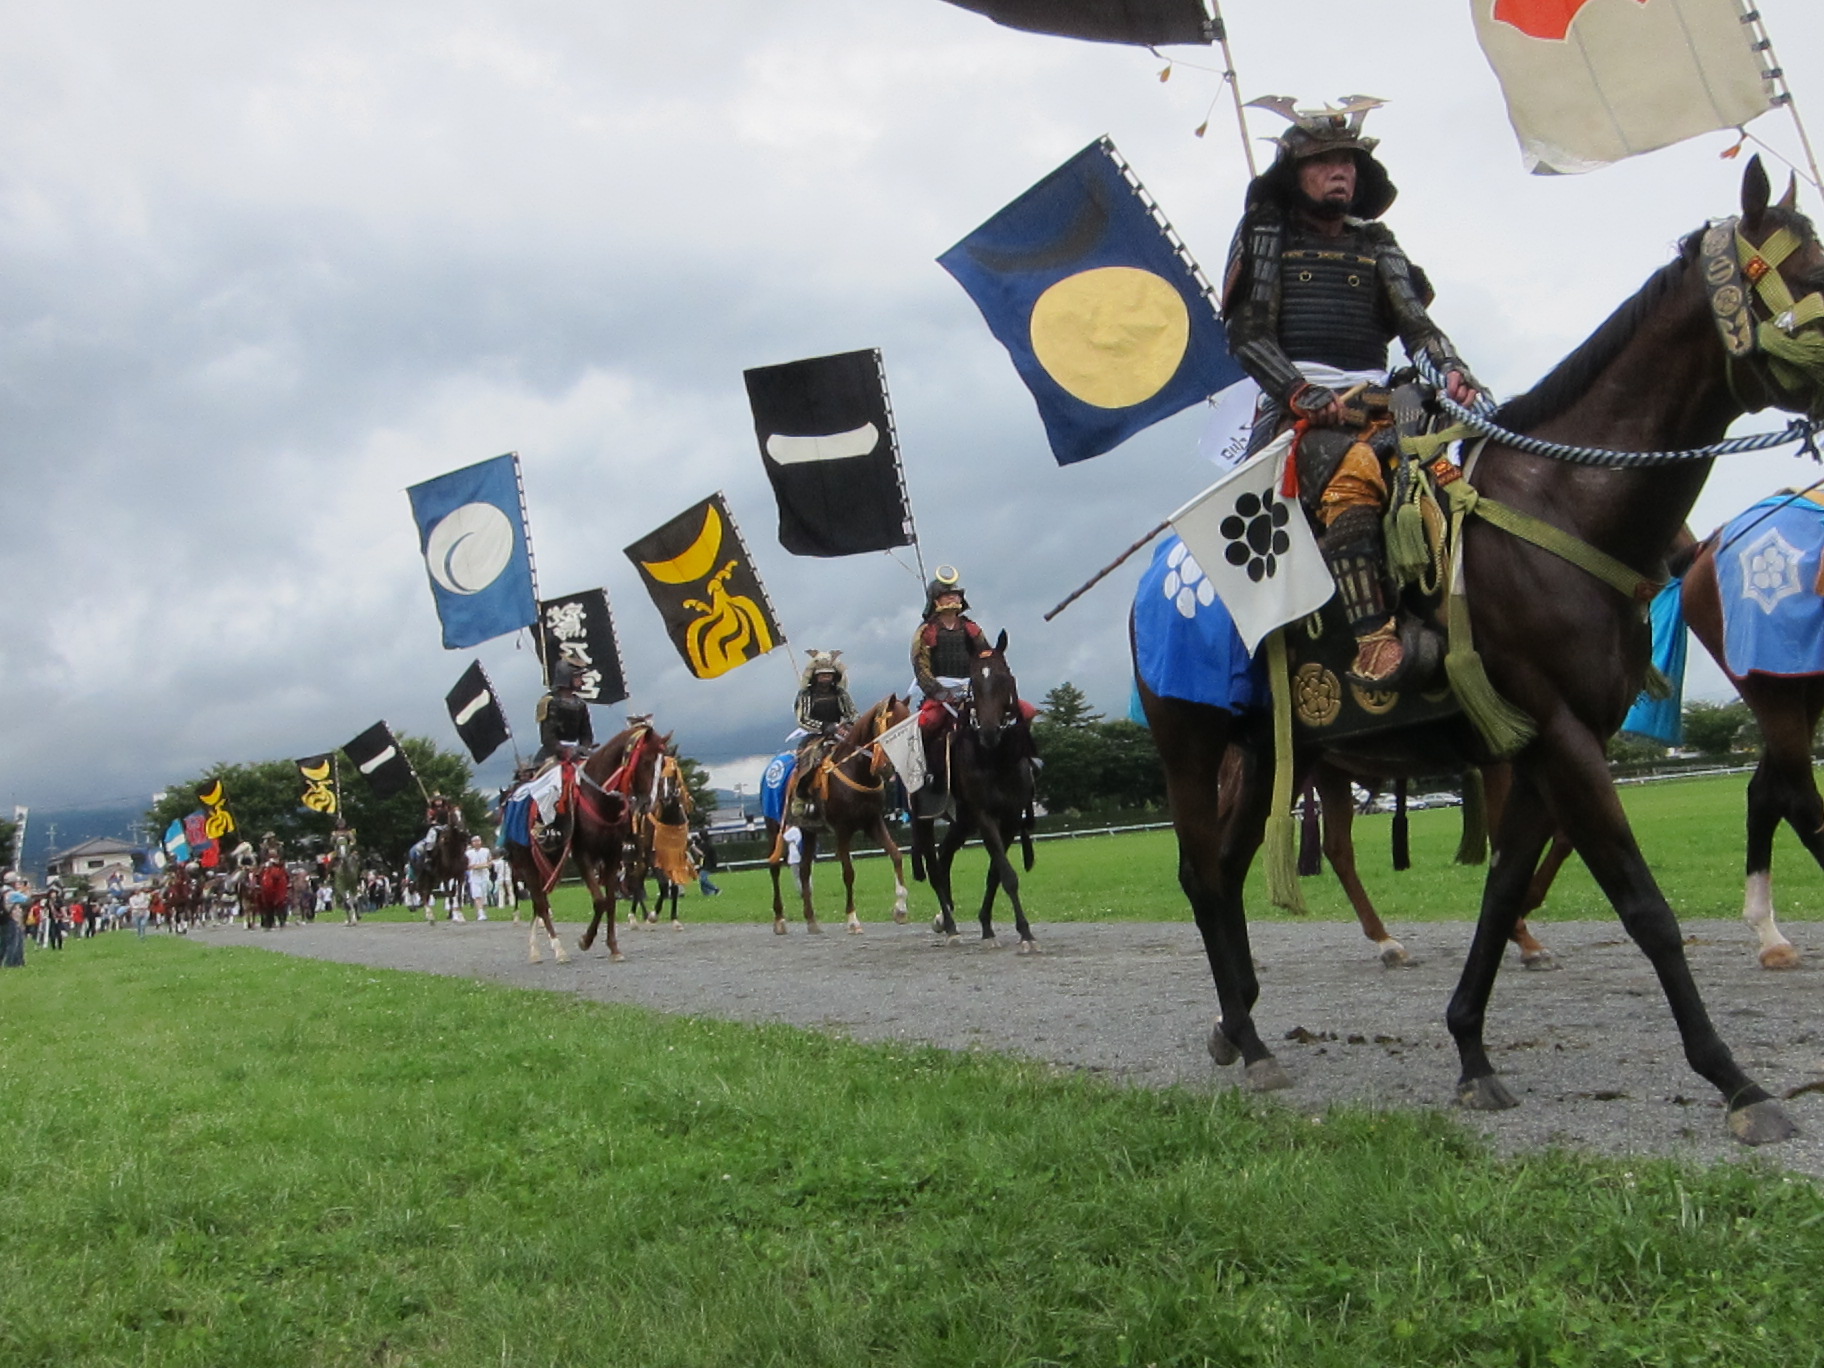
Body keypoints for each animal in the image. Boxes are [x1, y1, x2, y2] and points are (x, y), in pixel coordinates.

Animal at [766, 700, 912, 941]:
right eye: (891, 722)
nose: (889, 766)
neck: (857, 770)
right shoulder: (843, 830)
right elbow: (848, 873)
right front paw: (852, 920)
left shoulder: (873, 822)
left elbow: (896, 855)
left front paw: (900, 909)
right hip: (774, 825)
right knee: (775, 867)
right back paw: (779, 920)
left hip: (808, 831)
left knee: (804, 870)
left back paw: (812, 921)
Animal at [919, 634, 1036, 948]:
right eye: (973, 680)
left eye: (1004, 677)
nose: (989, 731)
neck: (995, 758)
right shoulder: (984, 815)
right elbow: (1007, 874)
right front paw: (1025, 933)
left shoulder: (1010, 818)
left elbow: (995, 873)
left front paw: (987, 926)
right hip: (924, 816)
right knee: (934, 868)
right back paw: (949, 927)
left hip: (962, 820)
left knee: (945, 857)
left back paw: (945, 918)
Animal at [1138, 157, 1824, 1145]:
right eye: (1803, 270)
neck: (1559, 506)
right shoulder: (1562, 738)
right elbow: (1644, 907)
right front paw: (1735, 1081)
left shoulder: (1536, 746)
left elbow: (1503, 894)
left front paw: (1470, 1049)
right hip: (1190, 744)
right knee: (1199, 875)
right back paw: (1254, 1041)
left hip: (1267, 748)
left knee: (1226, 875)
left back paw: (1242, 1028)